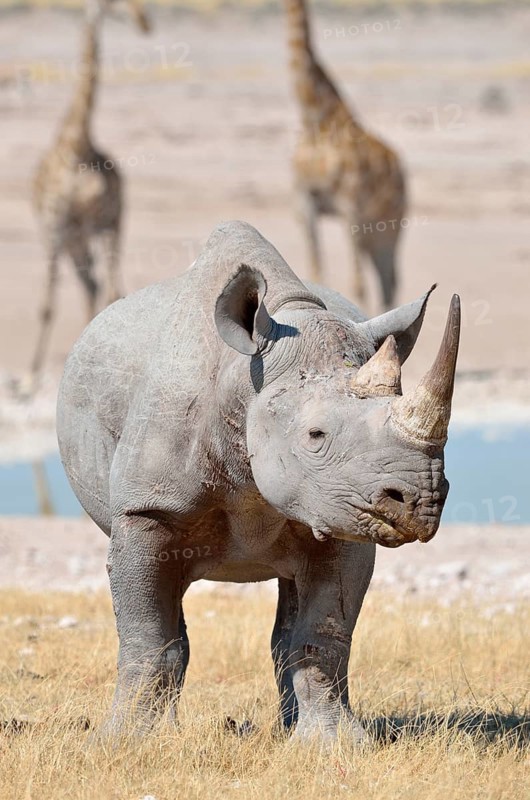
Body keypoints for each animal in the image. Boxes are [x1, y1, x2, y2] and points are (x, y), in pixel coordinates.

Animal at [57, 220, 460, 742]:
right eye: (315, 435)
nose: (420, 502)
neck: (245, 380)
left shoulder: (340, 507)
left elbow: (323, 634)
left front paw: (335, 745)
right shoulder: (146, 509)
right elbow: (148, 635)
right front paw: (128, 742)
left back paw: (289, 732)